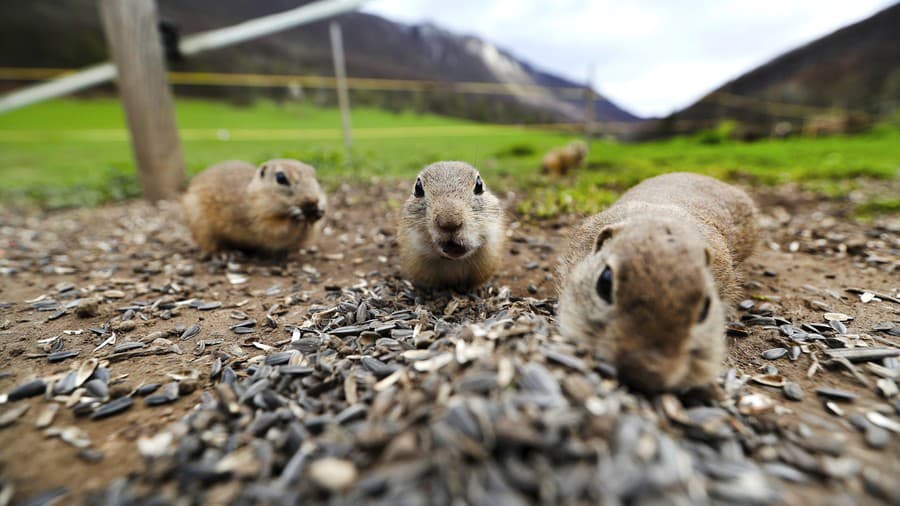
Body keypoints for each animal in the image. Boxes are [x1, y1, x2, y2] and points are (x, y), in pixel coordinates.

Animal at [181, 158, 326, 255]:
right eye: (280, 178)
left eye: (315, 176)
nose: (313, 200)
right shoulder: (258, 218)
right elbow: (275, 229)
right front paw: (296, 215)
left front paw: (319, 213)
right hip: (200, 224)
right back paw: (225, 254)